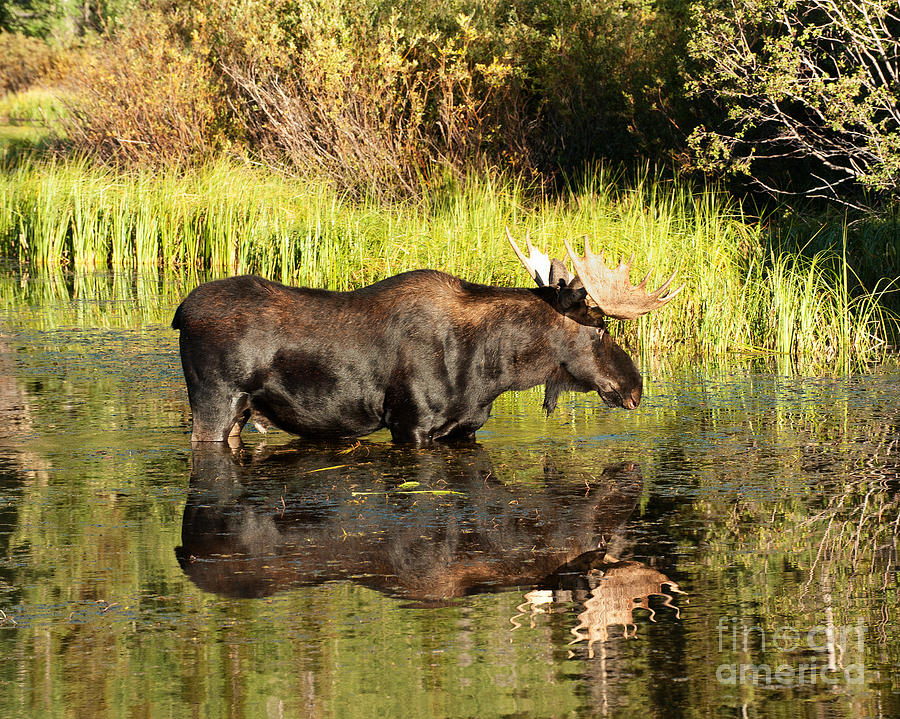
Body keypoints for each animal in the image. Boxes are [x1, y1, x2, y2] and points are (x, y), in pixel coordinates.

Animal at [172, 231, 684, 444]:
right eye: (601, 328)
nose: (636, 387)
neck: (490, 373)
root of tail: (179, 314)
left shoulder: (466, 428)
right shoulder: (409, 423)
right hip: (215, 402)